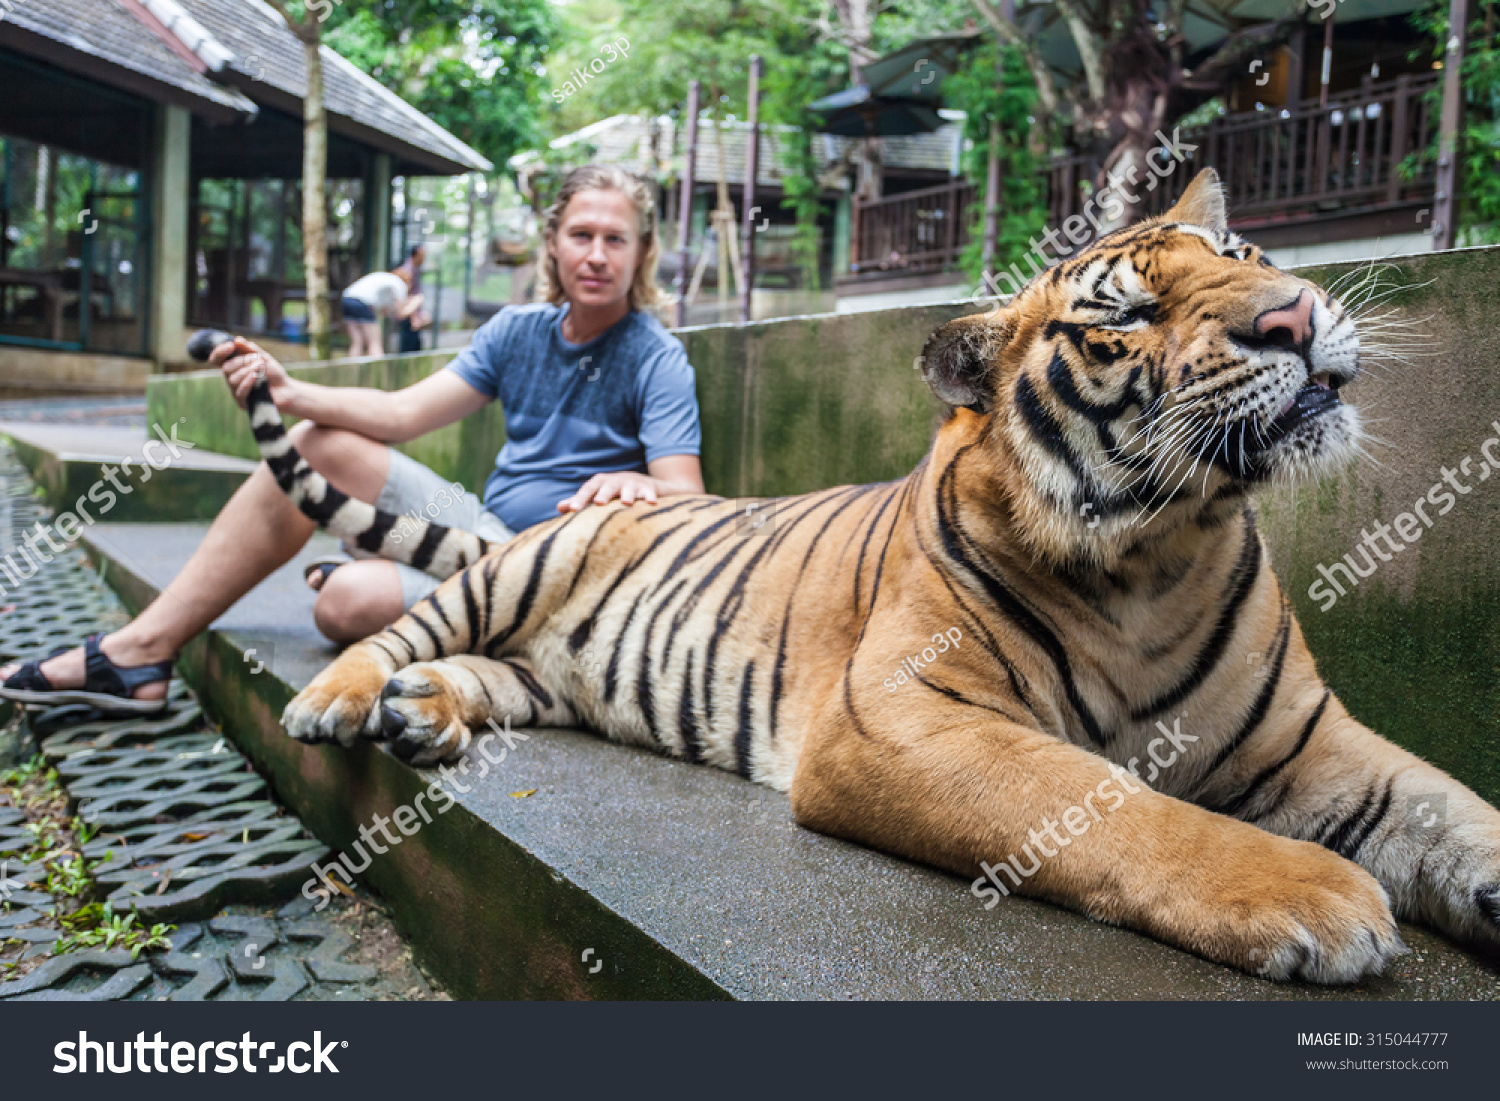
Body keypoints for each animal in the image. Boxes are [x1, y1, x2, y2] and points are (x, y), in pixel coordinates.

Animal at [237, 168, 1500, 990]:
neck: (1165, 550)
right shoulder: (900, 717)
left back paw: (429, 714)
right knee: (395, 632)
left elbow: (1449, 809)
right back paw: (345, 700)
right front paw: (1313, 894)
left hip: (563, 673)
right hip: (517, 572)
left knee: (496, 676)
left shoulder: (1308, 738)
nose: (1295, 313)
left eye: (1244, 258)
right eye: (1128, 314)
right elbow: (1110, 803)